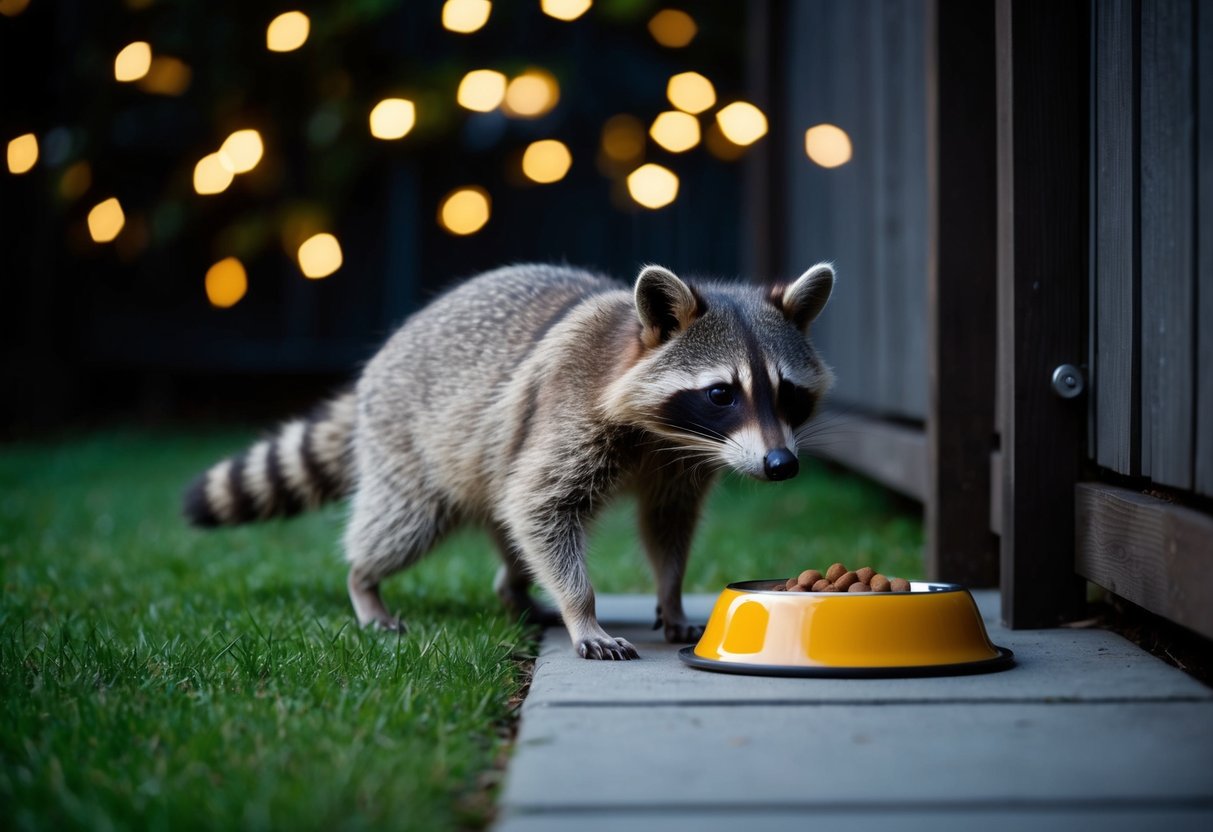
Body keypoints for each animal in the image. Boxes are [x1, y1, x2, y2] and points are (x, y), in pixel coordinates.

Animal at [184, 262, 835, 659]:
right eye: (722, 393)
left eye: (787, 394)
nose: (781, 464)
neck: (664, 431)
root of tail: (383, 356)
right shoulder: (569, 410)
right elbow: (542, 505)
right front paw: (583, 610)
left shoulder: (681, 464)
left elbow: (666, 525)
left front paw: (670, 595)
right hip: (409, 439)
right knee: (408, 522)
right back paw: (364, 581)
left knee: (509, 526)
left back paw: (513, 591)